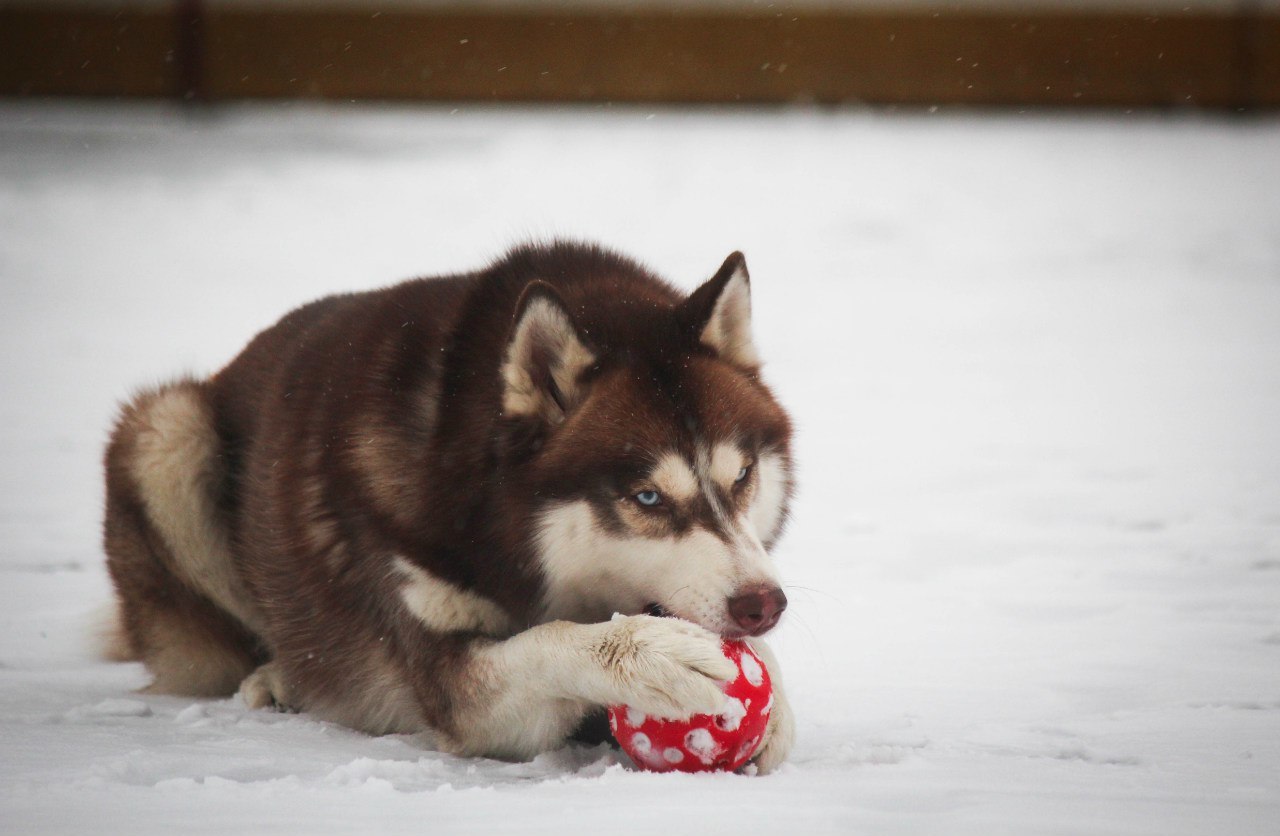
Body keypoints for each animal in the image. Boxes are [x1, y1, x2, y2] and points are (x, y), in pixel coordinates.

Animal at [102, 239, 788, 768]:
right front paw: (652, 654)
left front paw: (776, 702)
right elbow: (550, 642)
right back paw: (275, 676)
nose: (764, 604)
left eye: (743, 475)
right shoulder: (459, 687)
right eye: (647, 496)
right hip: (167, 432)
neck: (492, 522)